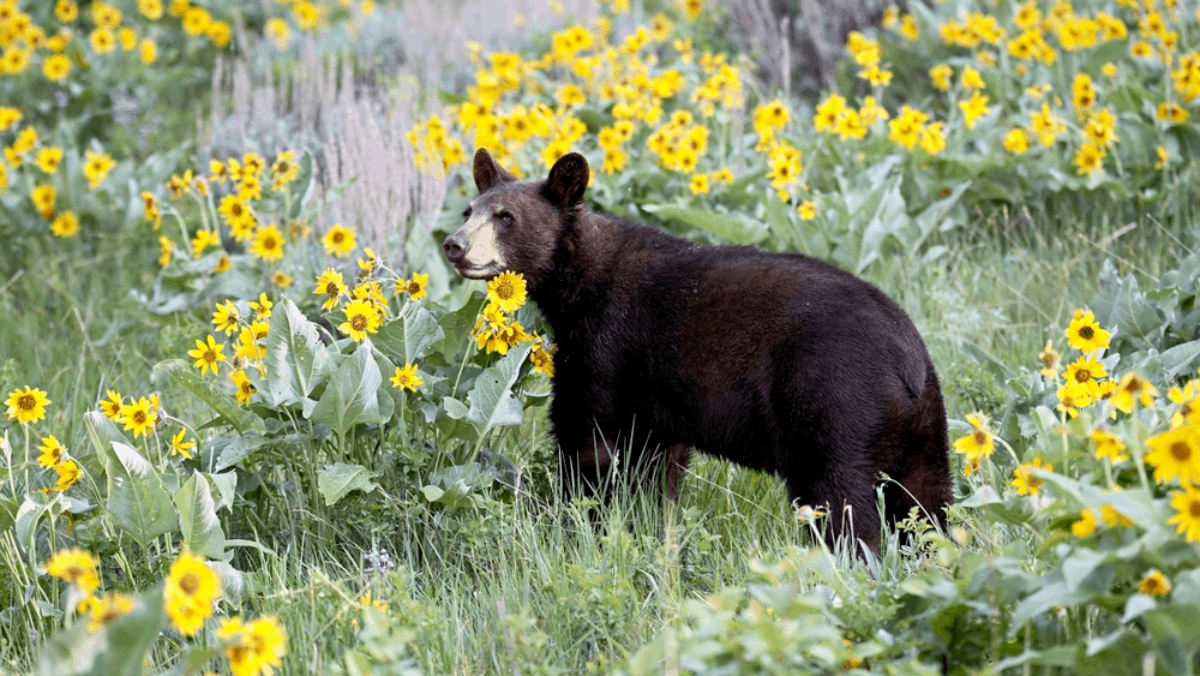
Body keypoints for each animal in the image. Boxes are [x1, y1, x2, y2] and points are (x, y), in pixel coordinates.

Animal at [443, 148, 953, 555]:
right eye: (468, 211)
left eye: (505, 218)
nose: (454, 244)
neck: (580, 286)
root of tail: (907, 361)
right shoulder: (654, 402)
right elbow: (657, 469)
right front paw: (652, 532)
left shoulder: (607, 348)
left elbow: (589, 442)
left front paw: (580, 525)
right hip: (925, 429)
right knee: (925, 504)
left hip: (834, 401)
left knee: (839, 498)